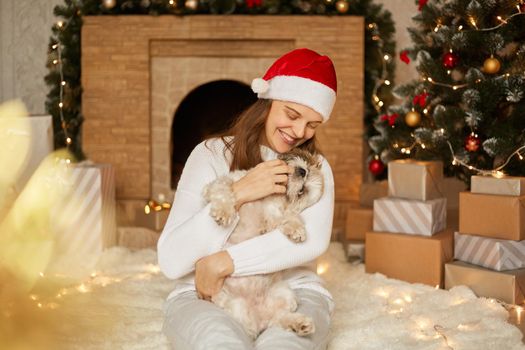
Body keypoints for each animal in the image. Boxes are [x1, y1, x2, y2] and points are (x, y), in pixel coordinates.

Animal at [202, 148, 322, 340]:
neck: (271, 197)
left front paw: (296, 229)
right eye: (307, 168)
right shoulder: (224, 183)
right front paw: (224, 211)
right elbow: (224, 189)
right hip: (237, 307)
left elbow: (290, 216)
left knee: (280, 318)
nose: (302, 171)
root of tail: (260, 317)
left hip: (285, 294)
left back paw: (300, 324)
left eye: (302, 191)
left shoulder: (276, 216)